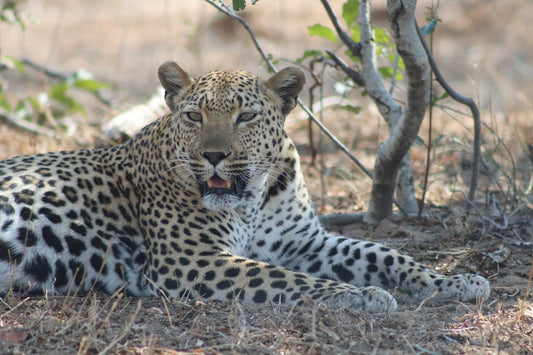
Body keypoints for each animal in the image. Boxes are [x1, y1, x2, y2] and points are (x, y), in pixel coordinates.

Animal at [0, 61, 490, 312]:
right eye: (194, 115)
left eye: (246, 116)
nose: (214, 155)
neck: (252, 200)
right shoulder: (191, 262)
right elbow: (283, 278)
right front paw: (361, 296)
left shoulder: (306, 243)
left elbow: (384, 253)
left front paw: (455, 282)